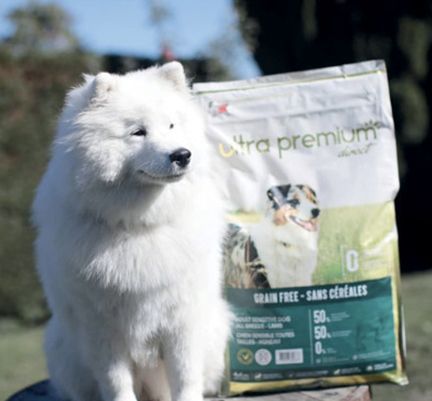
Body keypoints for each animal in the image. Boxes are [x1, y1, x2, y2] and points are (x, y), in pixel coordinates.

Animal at [32, 61, 231, 400]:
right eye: (138, 132)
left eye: (172, 126)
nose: (182, 155)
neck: (139, 225)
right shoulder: (102, 329)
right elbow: (116, 383)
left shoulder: (184, 320)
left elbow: (185, 376)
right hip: (64, 352)